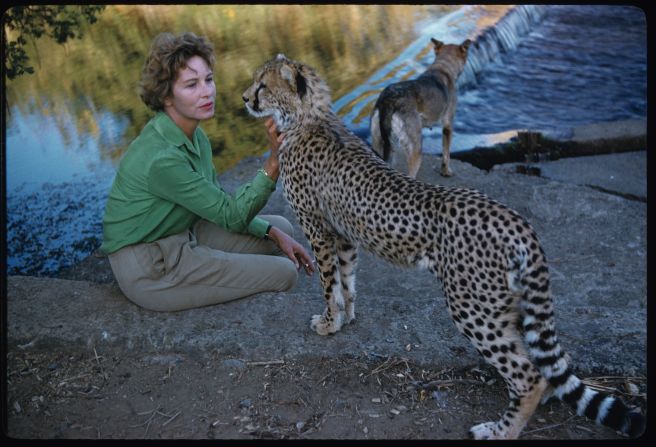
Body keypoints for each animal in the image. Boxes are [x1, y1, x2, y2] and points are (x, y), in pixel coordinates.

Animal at [242, 54, 644, 440]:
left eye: (263, 85)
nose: (245, 98)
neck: (307, 117)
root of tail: (514, 219)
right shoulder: (344, 235)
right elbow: (347, 280)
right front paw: (346, 318)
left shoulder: (319, 230)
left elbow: (329, 284)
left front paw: (328, 323)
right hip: (505, 302)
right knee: (540, 362)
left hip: (472, 306)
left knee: (527, 373)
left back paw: (501, 430)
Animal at [368, 38, 472, 178]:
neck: (443, 68)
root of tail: (388, 100)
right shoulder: (447, 125)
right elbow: (446, 154)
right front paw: (446, 172)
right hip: (416, 150)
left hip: (378, 143)